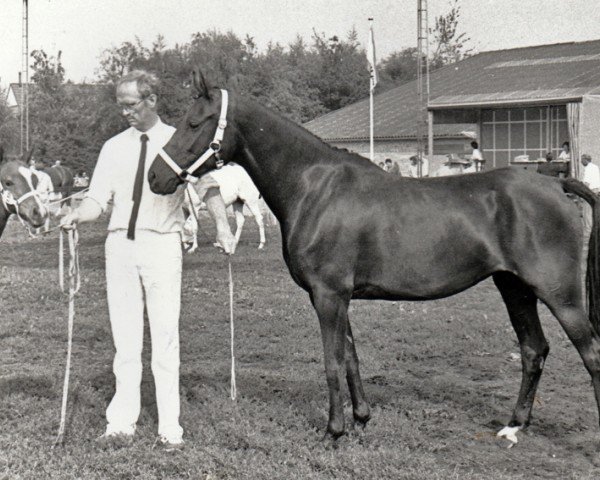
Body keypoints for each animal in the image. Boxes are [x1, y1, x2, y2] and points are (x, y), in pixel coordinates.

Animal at [148, 68, 600, 442]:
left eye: (194, 122)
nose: (155, 176)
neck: (315, 187)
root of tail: (556, 185)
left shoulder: (328, 295)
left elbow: (332, 361)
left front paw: (333, 431)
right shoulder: (336, 296)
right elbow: (350, 357)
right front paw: (361, 419)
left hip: (559, 294)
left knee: (590, 352)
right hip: (515, 288)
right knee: (534, 350)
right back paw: (514, 426)